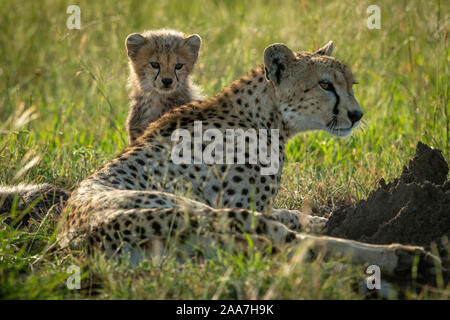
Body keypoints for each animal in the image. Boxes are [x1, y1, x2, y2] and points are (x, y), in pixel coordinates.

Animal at [57, 42, 440, 280]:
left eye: (351, 83)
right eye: (325, 85)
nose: (357, 115)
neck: (266, 114)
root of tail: (79, 240)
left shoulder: (256, 208)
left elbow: (293, 213)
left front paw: (326, 218)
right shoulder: (241, 206)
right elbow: (290, 226)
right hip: (199, 212)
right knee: (298, 246)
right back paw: (402, 254)